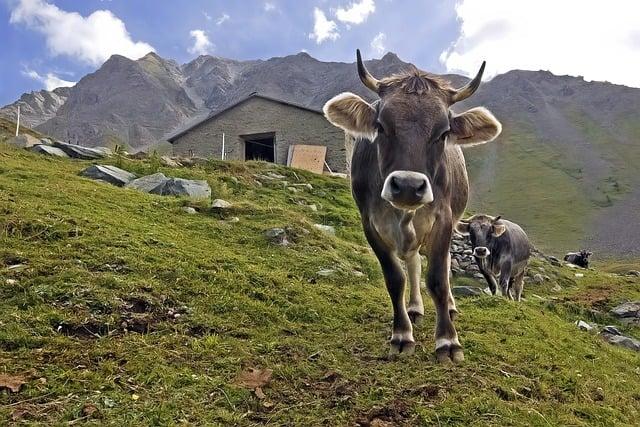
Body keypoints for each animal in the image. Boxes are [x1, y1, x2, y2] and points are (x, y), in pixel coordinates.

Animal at [322, 51, 502, 364]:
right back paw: (415, 308)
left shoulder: (442, 218)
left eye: (443, 132)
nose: (407, 185)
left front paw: (447, 341)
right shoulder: (369, 223)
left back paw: (449, 307)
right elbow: (395, 278)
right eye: (381, 126)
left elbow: (438, 279)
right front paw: (402, 335)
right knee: (414, 261)